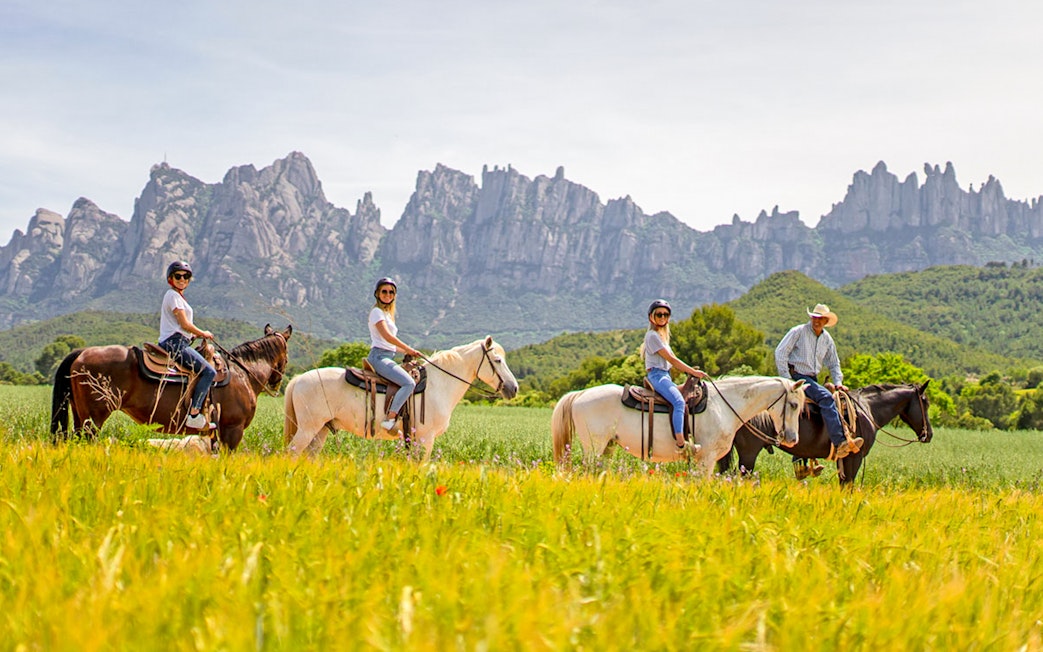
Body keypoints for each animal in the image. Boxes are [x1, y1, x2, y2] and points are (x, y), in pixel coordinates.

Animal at [51, 325, 292, 450]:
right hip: (93, 420)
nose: (276, 383)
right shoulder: (233, 430)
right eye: (287, 356)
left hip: (80, 416)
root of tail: (81, 352)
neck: (242, 374)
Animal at [283, 336, 519, 461]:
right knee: (291, 454)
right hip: (308, 429)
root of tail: (298, 379)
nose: (513, 388)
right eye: (497, 360)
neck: (438, 385)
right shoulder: (426, 439)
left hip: (321, 431)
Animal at [551, 375, 807, 477]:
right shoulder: (706, 459)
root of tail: (580, 394)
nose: (792, 439)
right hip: (594, 447)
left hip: (608, 448)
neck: (724, 405)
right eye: (794, 405)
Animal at [716, 382, 933, 484]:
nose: (928, 434)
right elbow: (848, 486)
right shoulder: (855, 457)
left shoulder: (844, 459)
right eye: (925, 402)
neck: (868, 409)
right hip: (748, 454)